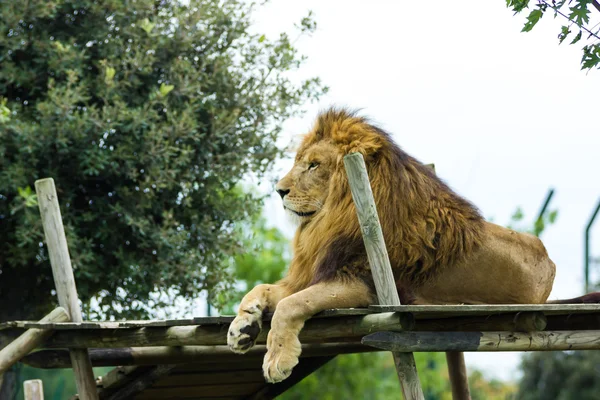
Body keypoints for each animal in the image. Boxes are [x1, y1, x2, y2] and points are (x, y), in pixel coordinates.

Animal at [229, 108, 596, 382]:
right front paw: (241, 328)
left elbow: (291, 305)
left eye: (314, 164)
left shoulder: (361, 284)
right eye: (300, 161)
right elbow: (262, 290)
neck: (329, 218)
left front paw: (277, 360)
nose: (279, 190)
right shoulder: (313, 273)